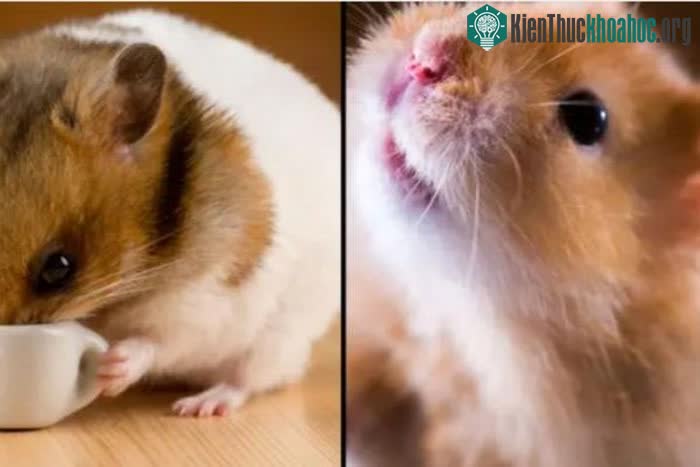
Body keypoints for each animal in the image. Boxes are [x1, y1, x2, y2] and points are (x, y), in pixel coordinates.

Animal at [0, 9, 339, 416]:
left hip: (277, 341)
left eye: (58, 268)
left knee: (249, 379)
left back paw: (201, 406)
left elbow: (158, 342)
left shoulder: (205, 297)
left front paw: (111, 368)